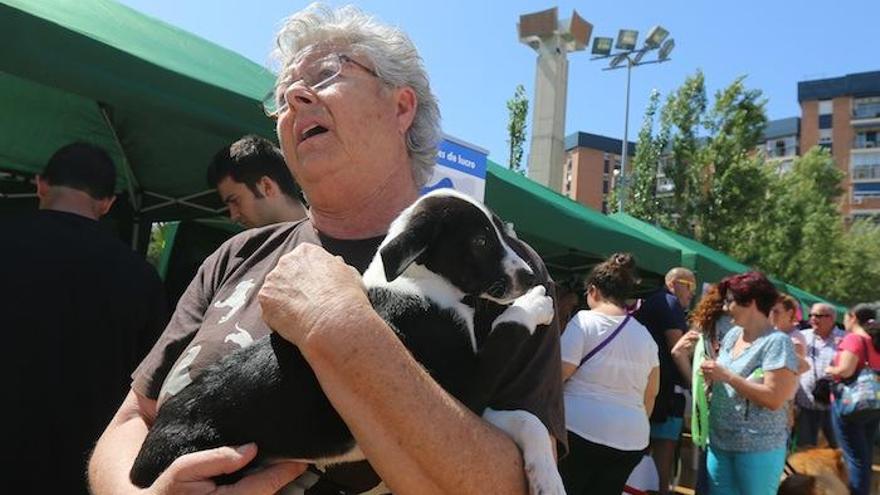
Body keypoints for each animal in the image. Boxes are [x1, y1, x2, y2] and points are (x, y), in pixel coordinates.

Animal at [131, 190, 564, 495]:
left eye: (504, 232)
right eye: (480, 241)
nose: (531, 276)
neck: (421, 283)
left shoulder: (467, 403)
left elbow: (528, 419)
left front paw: (547, 480)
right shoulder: (462, 389)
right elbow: (507, 330)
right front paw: (534, 303)